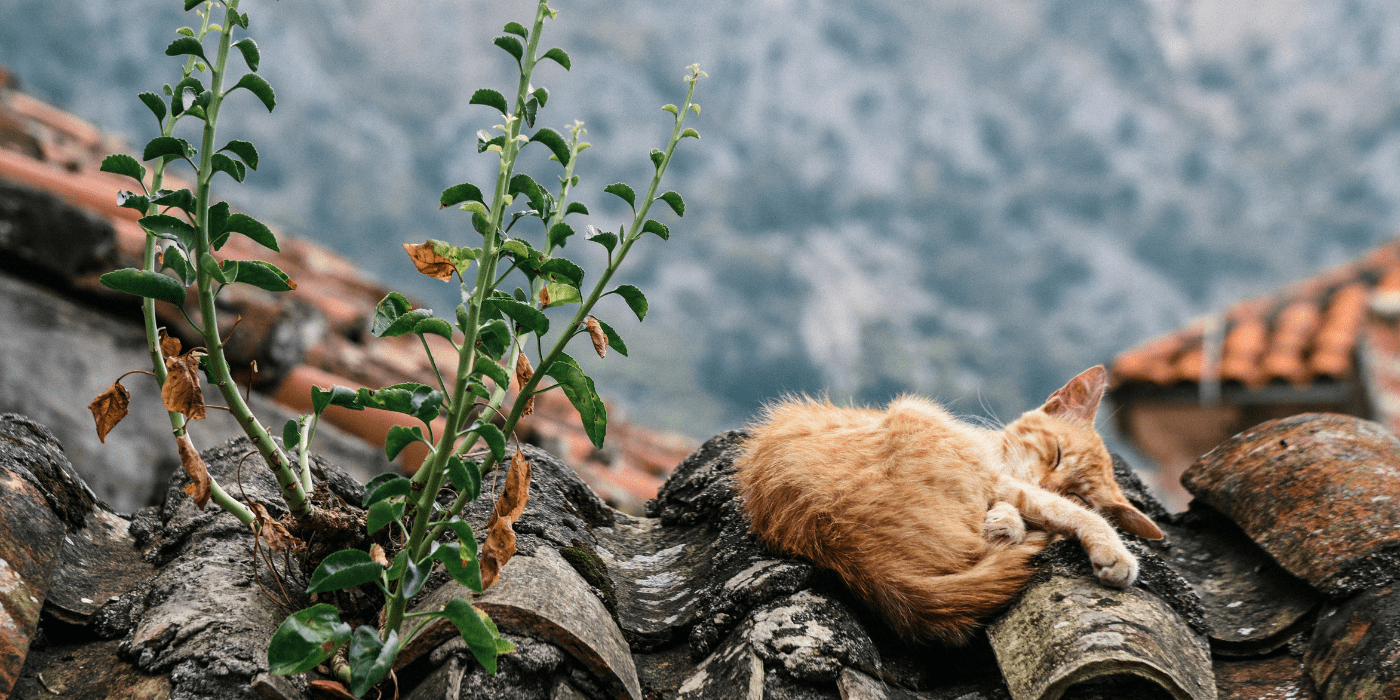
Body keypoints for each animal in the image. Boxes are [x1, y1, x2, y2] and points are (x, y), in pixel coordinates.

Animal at [739, 366, 1164, 644]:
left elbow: (1046, 509)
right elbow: (1056, 509)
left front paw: (1006, 522)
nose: (1048, 483)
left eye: (1079, 492)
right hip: (917, 408)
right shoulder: (998, 473)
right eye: (1057, 454)